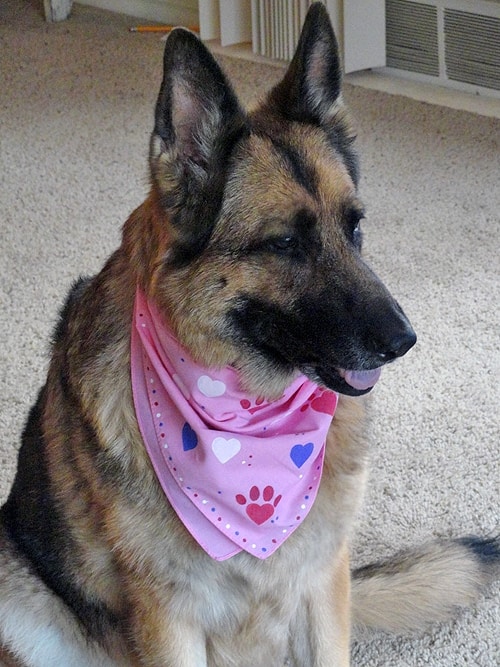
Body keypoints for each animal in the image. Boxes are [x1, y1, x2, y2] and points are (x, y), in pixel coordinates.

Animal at [0, 2, 498, 664]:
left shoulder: (323, 582)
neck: (248, 425)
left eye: (355, 227)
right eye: (284, 244)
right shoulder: (168, 618)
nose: (405, 341)